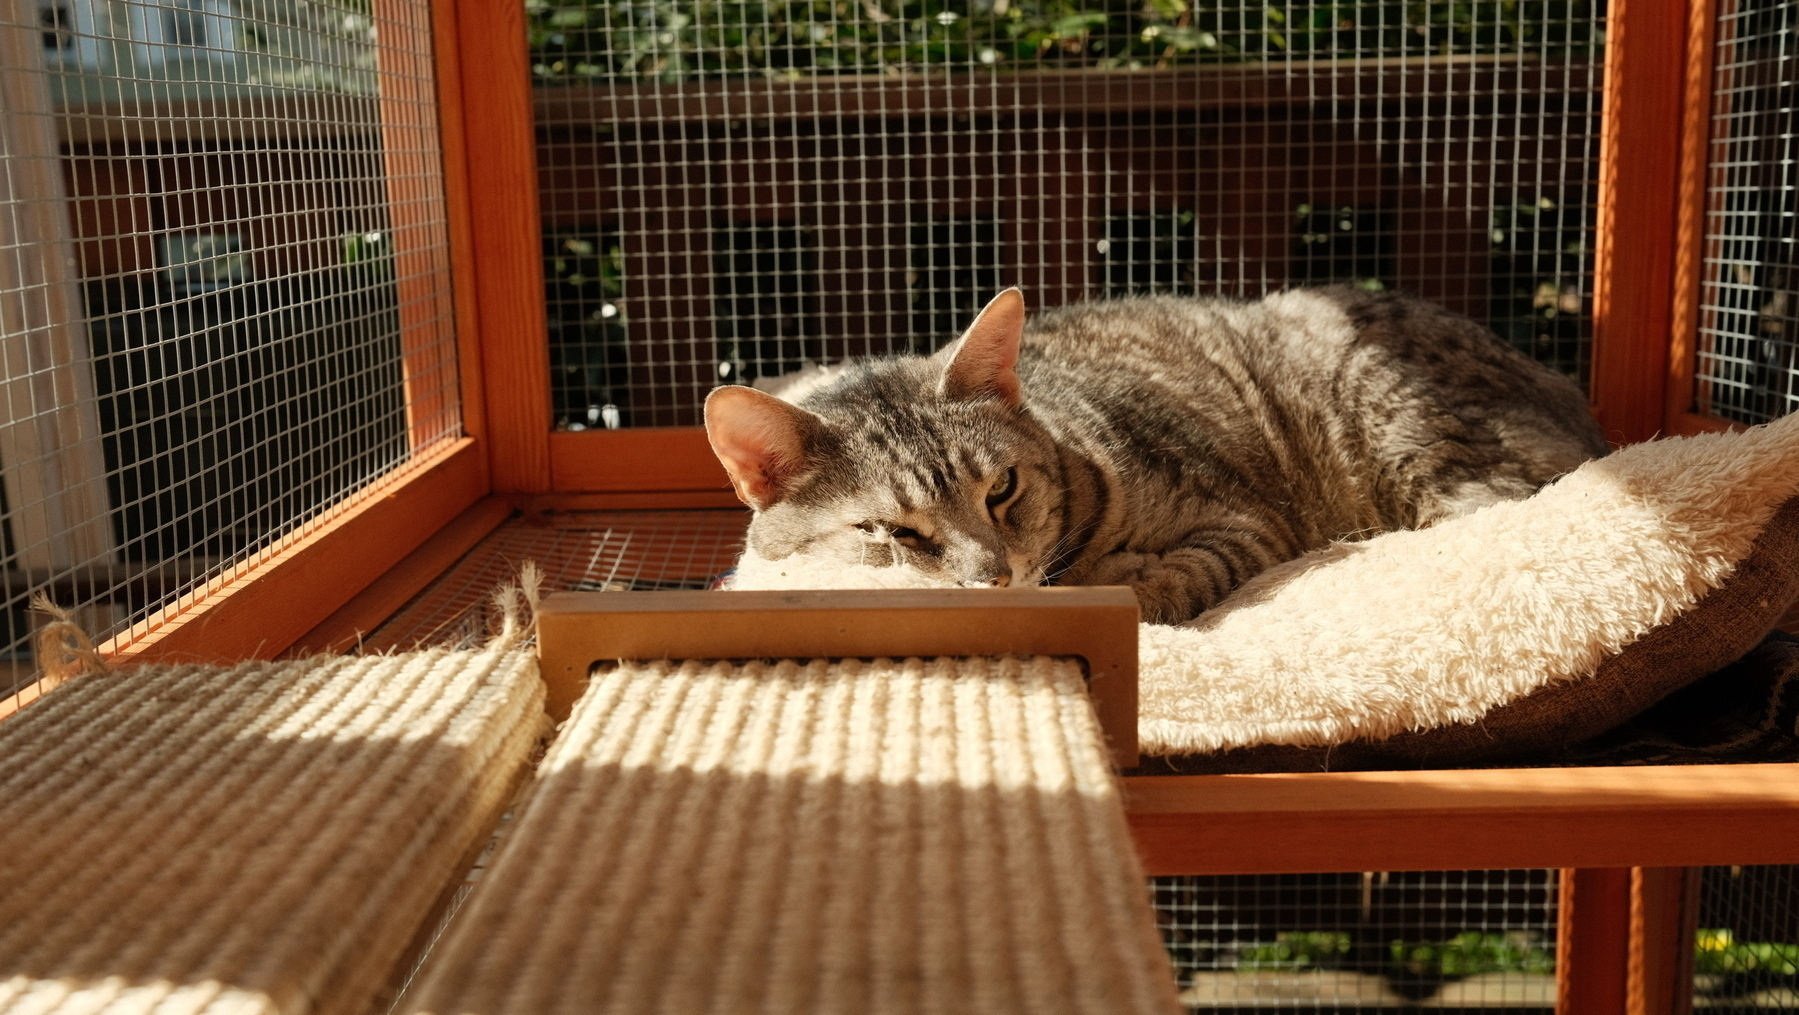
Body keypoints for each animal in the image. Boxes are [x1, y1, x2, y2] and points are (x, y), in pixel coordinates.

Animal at [701, 280, 1604, 622]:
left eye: (1002, 489)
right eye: (894, 533)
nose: (993, 578)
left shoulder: (1240, 523)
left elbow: (1163, 582)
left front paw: (1118, 579)